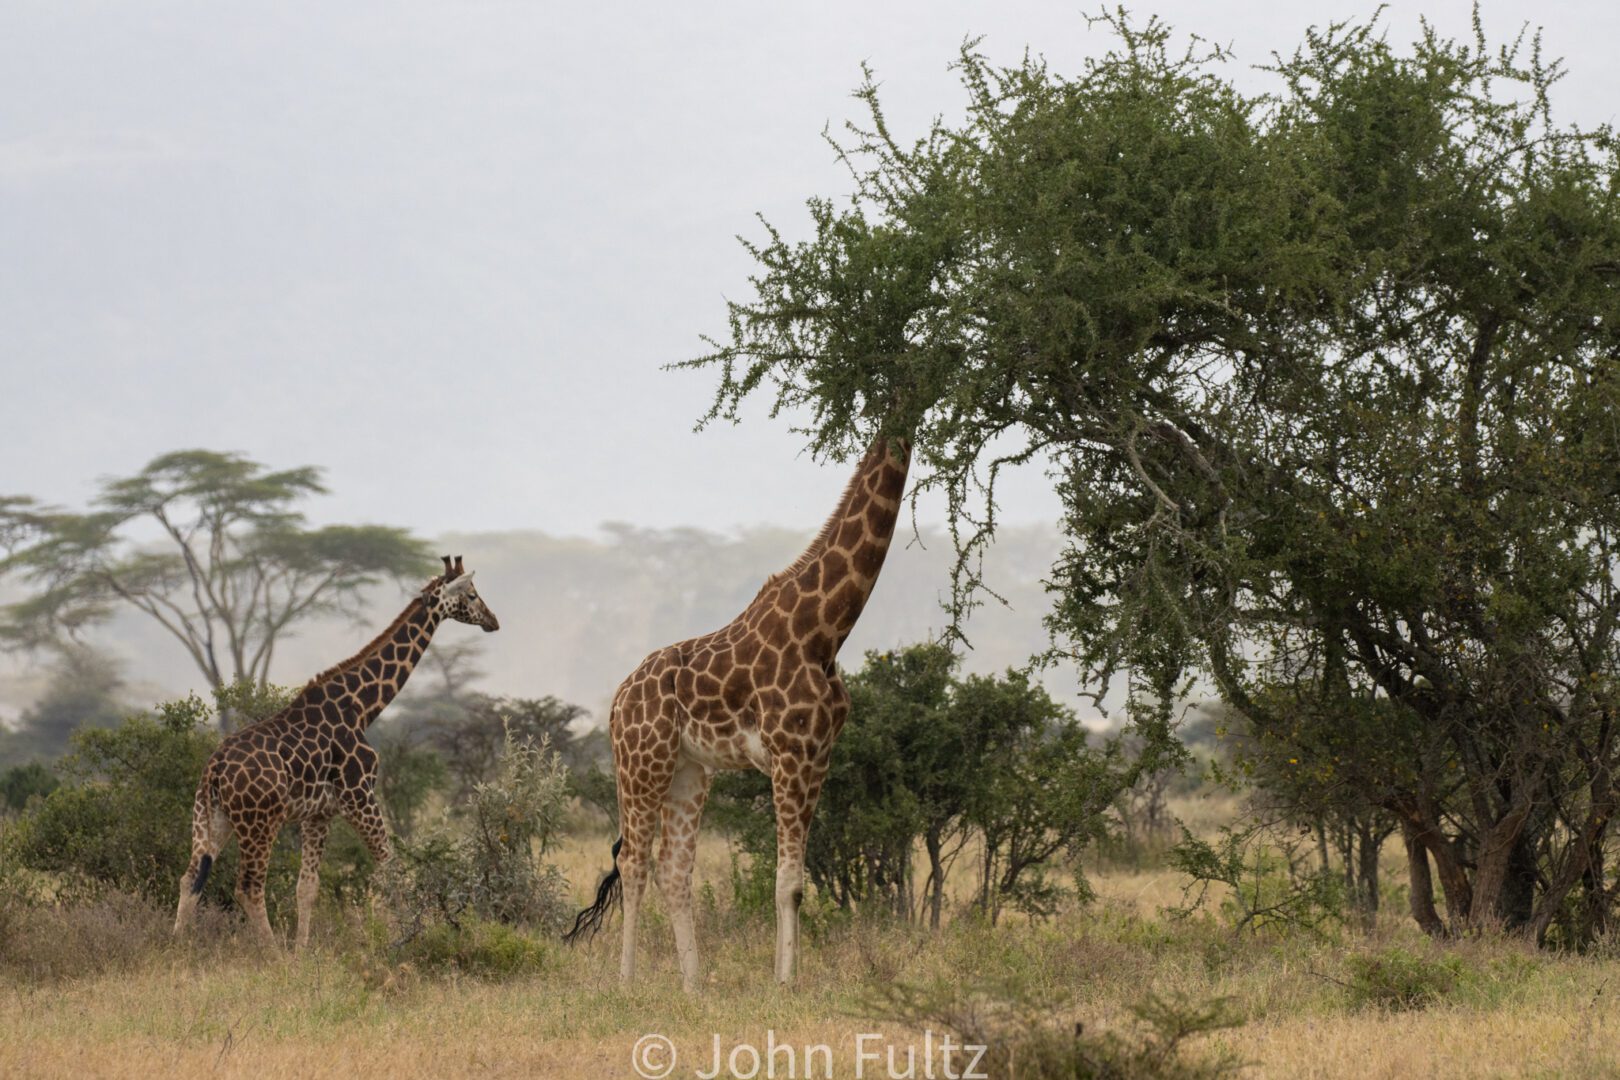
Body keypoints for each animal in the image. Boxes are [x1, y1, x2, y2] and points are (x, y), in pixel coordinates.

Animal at [174, 553, 495, 952]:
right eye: (472, 594)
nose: (493, 621)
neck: (362, 707)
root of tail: (213, 770)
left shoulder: (319, 813)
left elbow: (307, 887)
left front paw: (302, 952)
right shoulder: (359, 795)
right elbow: (390, 868)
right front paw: (408, 936)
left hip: (211, 817)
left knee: (190, 877)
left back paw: (177, 945)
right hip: (259, 823)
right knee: (248, 887)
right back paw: (272, 954)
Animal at [563, 433, 907, 990]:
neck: (824, 631)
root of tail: (617, 699)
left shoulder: (818, 756)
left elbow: (795, 879)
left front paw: (785, 977)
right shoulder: (790, 753)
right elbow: (788, 882)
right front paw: (785, 984)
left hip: (689, 770)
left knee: (672, 867)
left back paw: (694, 986)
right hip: (641, 763)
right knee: (634, 862)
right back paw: (627, 983)